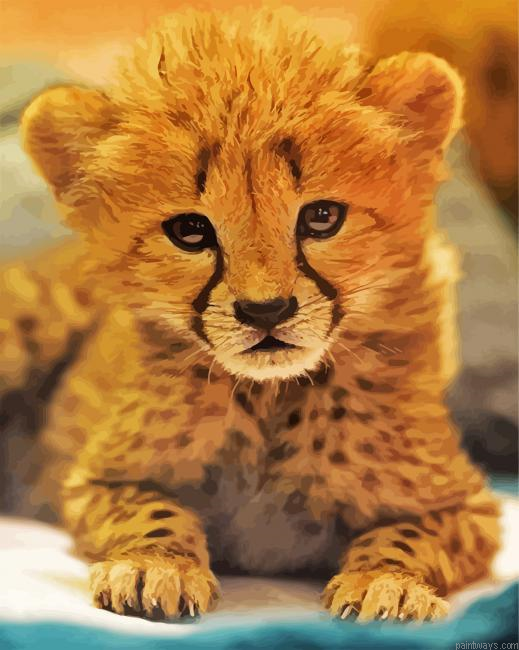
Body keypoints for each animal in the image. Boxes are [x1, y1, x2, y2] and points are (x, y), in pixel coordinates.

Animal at [1, 7, 500, 623]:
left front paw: (389, 582)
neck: (271, 401)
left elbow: (406, 535)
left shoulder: (468, 507)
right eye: (190, 230)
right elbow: (152, 509)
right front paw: (156, 566)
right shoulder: (92, 478)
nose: (266, 311)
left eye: (322, 217)